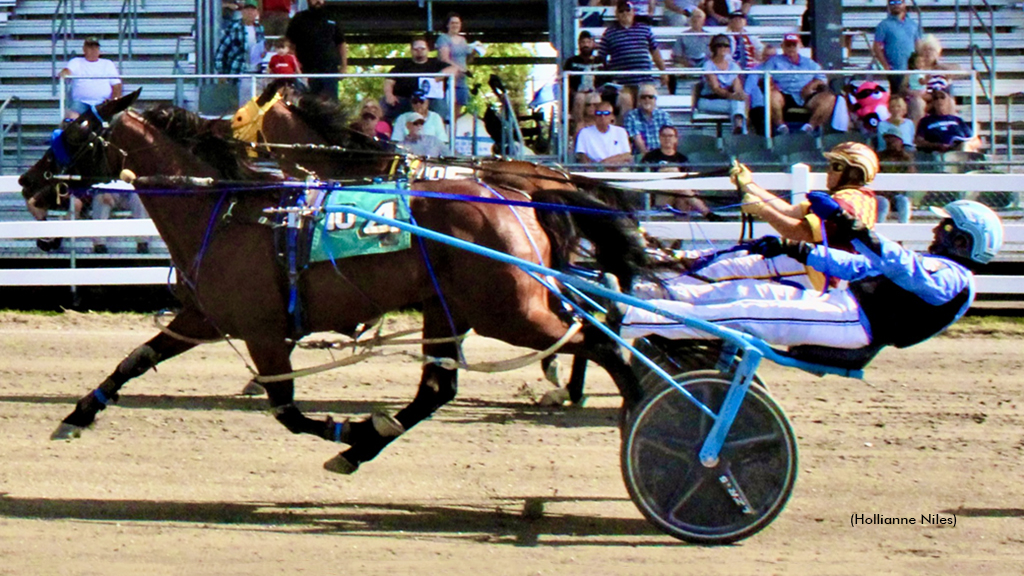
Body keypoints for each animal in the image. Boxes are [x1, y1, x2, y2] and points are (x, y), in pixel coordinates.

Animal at [19, 89, 647, 473]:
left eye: (76, 133)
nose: (28, 180)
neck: (227, 211)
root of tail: (520, 195)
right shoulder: (202, 318)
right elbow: (134, 360)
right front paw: (77, 415)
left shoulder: (263, 333)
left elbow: (288, 412)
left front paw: (341, 428)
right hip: (452, 310)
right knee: (439, 387)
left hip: (509, 310)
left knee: (600, 337)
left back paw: (629, 408)